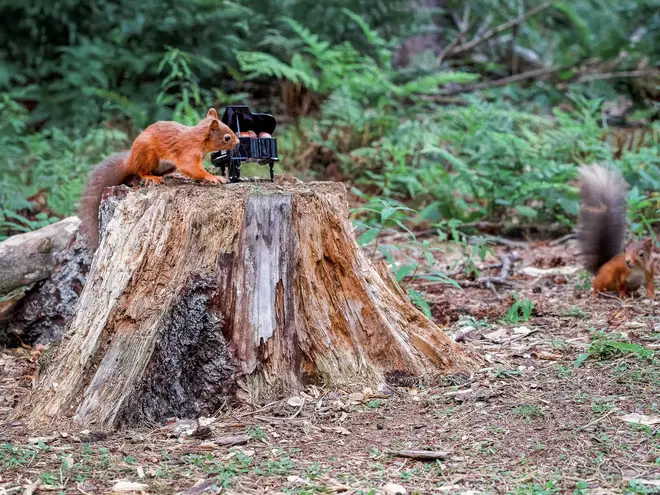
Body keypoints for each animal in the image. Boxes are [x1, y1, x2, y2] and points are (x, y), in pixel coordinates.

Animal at [79, 108, 240, 248]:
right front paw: (214, 177)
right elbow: (190, 167)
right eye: (227, 137)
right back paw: (151, 177)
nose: (238, 142)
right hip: (147, 155)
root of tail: (129, 161)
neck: (198, 138)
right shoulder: (188, 151)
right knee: (140, 171)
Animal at [576, 166, 656, 298]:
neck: (637, 269)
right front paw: (623, 296)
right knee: (597, 283)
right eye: (625, 251)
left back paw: (635, 293)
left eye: (641, 254)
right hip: (606, 277)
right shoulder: (620, 273)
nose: (627, 261)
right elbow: (621, 285)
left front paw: (652, 296)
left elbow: (650, 285)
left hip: (635, 284)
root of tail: (600, 268)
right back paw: (597, 293)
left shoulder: (649, 272)